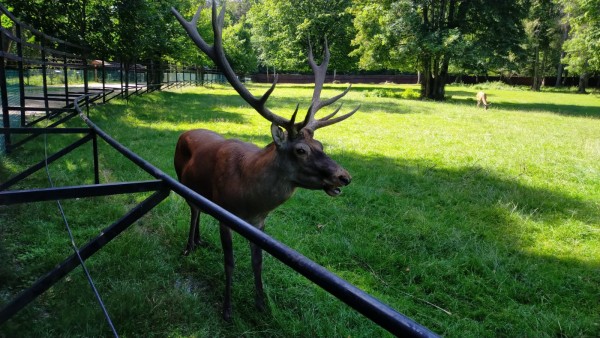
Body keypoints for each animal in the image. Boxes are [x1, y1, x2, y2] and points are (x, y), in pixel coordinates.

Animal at [170, 0, 356, 322]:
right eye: (300, 150)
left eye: (320, 144)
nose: (343, 176)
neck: (250, 199)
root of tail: (185, 132)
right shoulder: (225, 214)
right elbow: (230, 262)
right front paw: (227, 309)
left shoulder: (260, 223)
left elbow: (258, 262)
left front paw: (261, 304)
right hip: (182, 180)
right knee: (193, 210)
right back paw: (189, 246)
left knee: (198, 210)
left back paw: (198, 241)